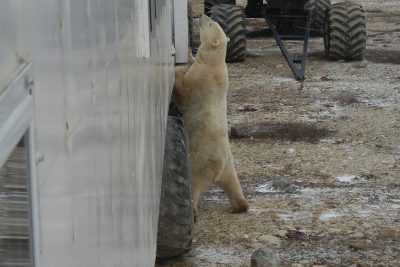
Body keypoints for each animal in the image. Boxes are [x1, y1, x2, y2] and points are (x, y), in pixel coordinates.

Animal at [173, 14, 248, 220]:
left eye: (210, 24)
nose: (203, 15)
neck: (215, 62)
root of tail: (218, 167)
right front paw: (188, 54)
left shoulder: (202, 80)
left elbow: (185, 91)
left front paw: (177, 69)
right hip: (230, 164)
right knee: (233, 183)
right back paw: (241, 205)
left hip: (200, 159)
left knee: (194, 184)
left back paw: (193, 212)